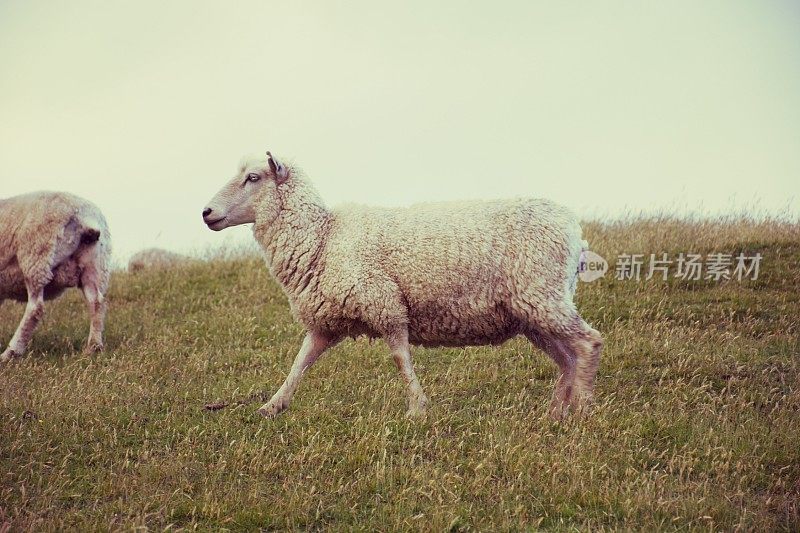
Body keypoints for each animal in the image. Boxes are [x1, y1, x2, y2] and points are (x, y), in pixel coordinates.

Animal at [0, 189, 111, 360]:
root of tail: (84, 216)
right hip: (95, 266)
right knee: (97, 302)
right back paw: (93, 347)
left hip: (37, 257)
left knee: (35, 309)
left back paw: (11, 353)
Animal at [203, 151, 604, 420]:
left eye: (253, 177)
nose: (205, 213)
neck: (323, 238)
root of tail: (574, 231)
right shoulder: (324, 324)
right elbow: (299, 363)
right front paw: (272, 406)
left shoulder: (384, 302)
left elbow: (400, 357)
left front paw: (416, 409)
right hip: (533, 311)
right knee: (567, 358)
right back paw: (556, 414)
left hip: (543, 295)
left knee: (588, 343)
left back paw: (582, 413)